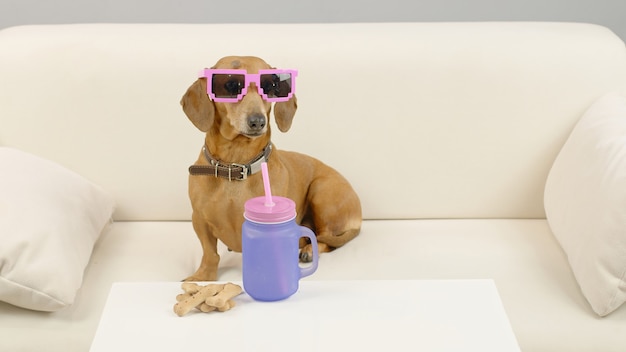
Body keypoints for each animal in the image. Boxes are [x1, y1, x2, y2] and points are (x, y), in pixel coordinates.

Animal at [179, 55, 360, 280]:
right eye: (230, 85)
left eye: (270, 86)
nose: (257, 121)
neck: (235, 165)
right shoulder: (199, 219)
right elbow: (210, 253)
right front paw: (203, 277)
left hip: (322, 191)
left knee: (325, 237)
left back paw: (309, 250)